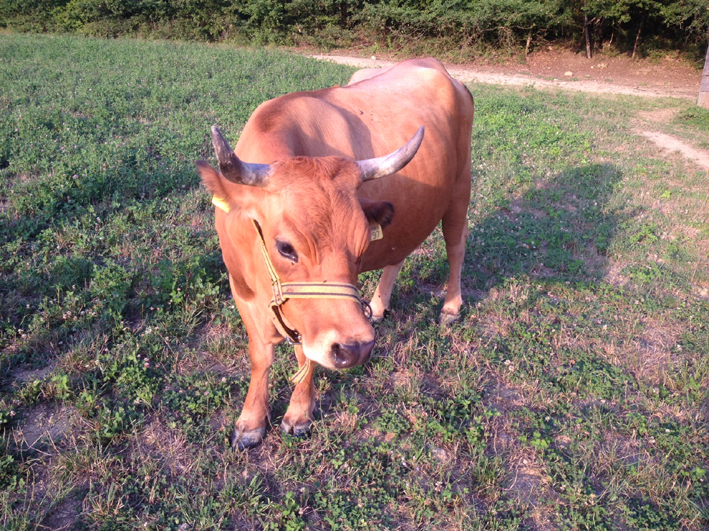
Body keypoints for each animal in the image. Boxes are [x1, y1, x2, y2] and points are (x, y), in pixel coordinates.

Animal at [196, 58, 472, 448]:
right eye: (285, 247)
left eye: (360, 246)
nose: (356, 348)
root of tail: (436, 66)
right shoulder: (240, 289)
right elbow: (260, 355)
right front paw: (250, 422)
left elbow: (305, 356)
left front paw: (298, 414)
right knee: (399, 252)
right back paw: (378, 306)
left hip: (461, 187)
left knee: (456, 244)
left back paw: (450, 307)